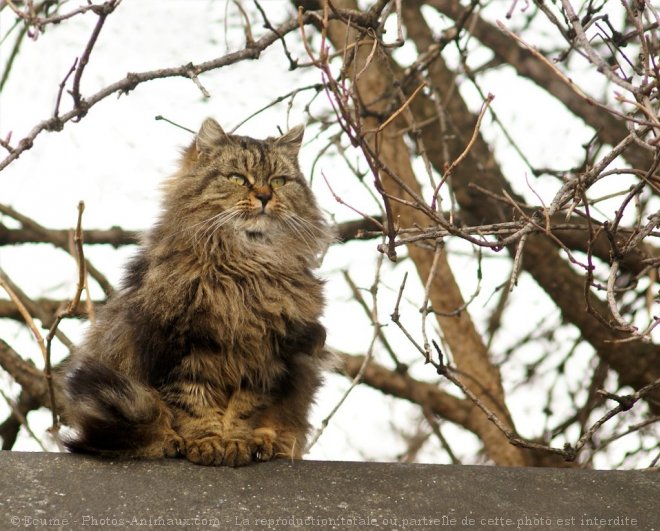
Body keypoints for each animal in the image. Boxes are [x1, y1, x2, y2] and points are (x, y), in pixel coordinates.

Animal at [64, 118, 332, 468]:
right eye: (237, 178)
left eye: (279, 180)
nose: (264, 195)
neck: (245, 271)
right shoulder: (185, 347)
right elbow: (194, 404)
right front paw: (205, 442)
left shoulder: (268, 355)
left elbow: (244, 409)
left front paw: (235, 441)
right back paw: (168, 441)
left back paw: (267, 443)